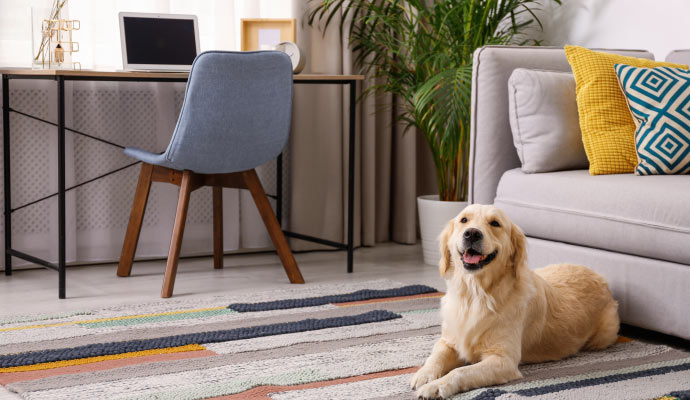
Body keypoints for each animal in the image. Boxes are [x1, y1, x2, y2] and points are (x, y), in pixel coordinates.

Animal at [408, 205, 620, 398]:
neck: (475, 295)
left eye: (495, 223)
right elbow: (435, 357)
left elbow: (461, 371)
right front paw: (424, 375)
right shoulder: (448, 341)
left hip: (603, 336)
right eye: (464, 220)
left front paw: (436, 386)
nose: (472, 234)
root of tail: (601, 278)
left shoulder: (503, 360)